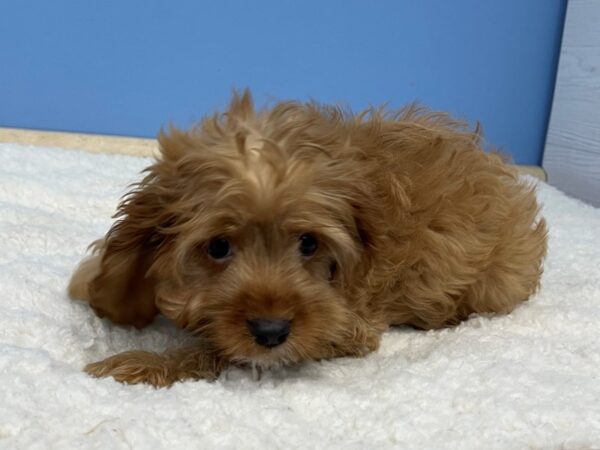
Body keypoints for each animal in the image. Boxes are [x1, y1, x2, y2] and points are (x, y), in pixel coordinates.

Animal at [68, 90, 548, 386]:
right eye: (218, 247)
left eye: (309, 244)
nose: (271, 331)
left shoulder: (346, 325)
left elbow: (220, 349)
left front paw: (140, 363)